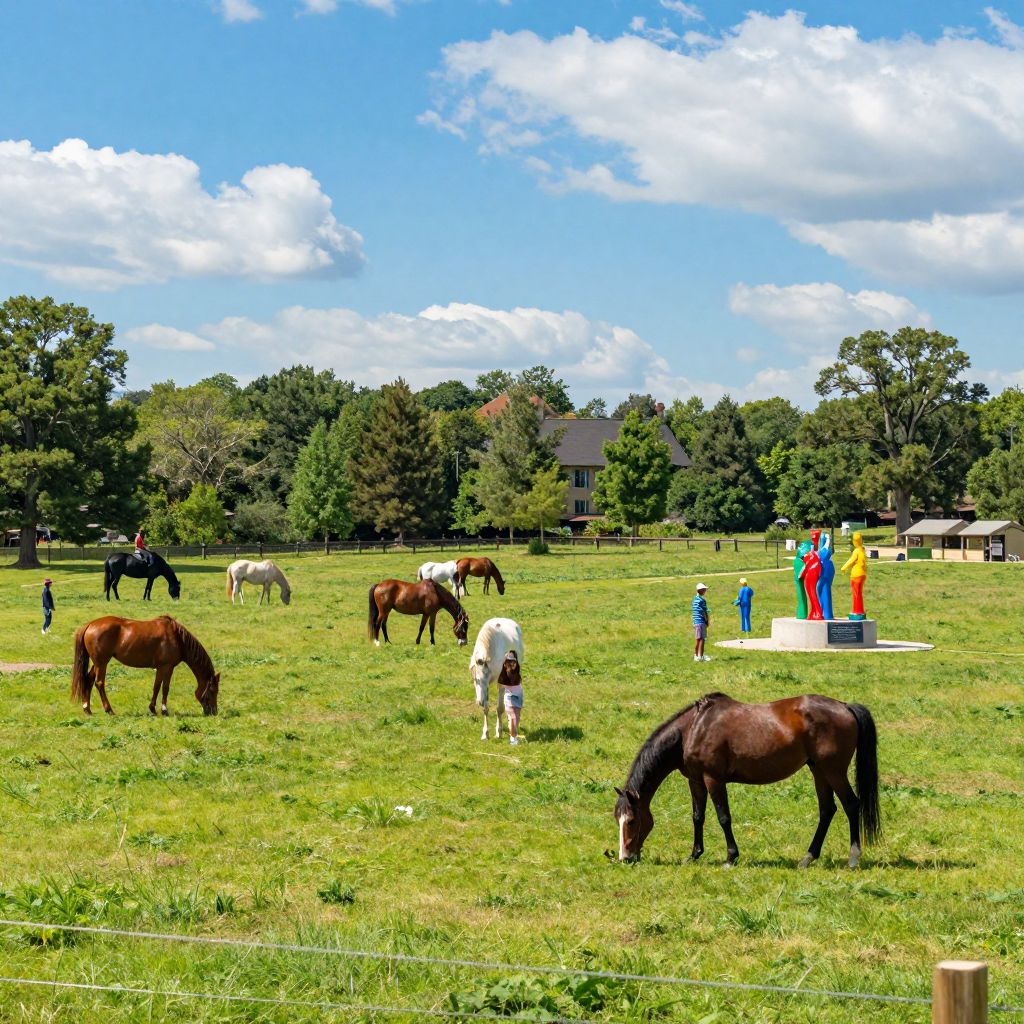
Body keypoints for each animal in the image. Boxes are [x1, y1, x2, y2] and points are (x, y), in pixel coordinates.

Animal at [71, 615, 219, 716]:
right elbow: (163, 688)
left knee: (88, 680)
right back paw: (109, 710)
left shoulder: (162, 668)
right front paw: (162, 710)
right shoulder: (166, 667)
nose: (214, 712)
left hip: (97, 663)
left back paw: (87, 708)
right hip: (102, 662)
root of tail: (90, 625)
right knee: (99, 683)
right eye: (213, 690)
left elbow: (158, 687)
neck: (177, 637)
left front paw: (153, 708)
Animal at [614, 692, 880, 869]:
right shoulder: (696, 781)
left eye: (632, 821)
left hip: (833, 771)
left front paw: (731, 857)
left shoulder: (713, 779)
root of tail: (845, 707)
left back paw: (853, 857)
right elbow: (698, 817)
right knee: (827, 810)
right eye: (618, 820)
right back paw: (808, 858)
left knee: (851, 805)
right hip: (819, 771)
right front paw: (694, 854)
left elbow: (723, 818)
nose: (625, 857)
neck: (693, 729)